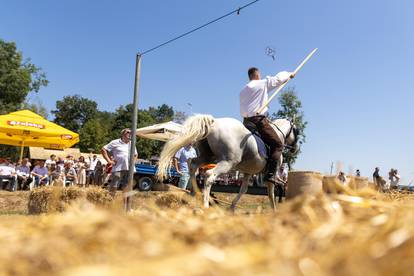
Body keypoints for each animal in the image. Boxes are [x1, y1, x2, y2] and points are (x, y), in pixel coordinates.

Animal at [157, 114, 300, 209]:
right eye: (297, 131)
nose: (295, 149)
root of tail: (214, 122)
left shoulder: (248, 173)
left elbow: (243, 189)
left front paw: (232, 207)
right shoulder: (271, 174)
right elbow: (271, 193)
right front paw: (274, 210)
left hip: (208, 156)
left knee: (192, 164)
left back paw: (194, 193)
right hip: (227, 162)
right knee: (209, 175)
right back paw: (205, 204)